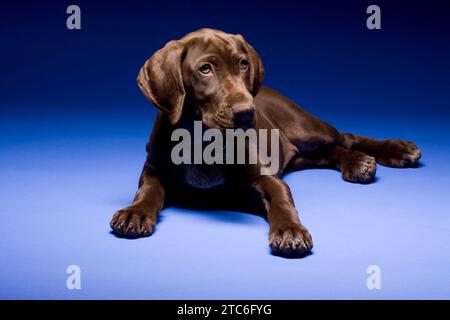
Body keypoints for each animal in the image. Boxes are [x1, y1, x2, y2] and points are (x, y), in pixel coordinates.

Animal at [109, 28, 422, 256]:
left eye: (243, 64)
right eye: (205, 69)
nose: (247, 112)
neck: (201, 140)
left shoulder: (268, 178)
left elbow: (282, 201)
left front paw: (290, 230)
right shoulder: (153, 168)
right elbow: (148, 190)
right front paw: (135, 213)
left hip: (306, 128)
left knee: (346, 138)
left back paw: (394, 151)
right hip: (298, 153)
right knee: (330, 152)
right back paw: (356, 164)